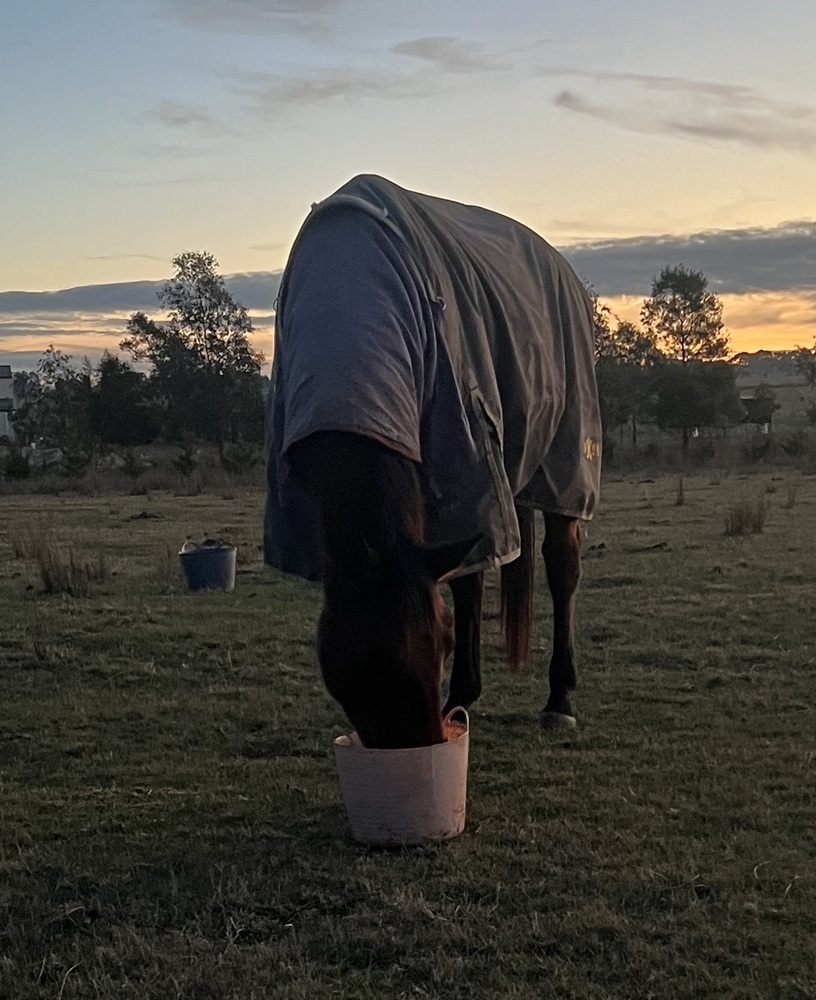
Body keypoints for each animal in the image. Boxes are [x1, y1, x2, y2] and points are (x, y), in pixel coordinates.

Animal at [265, 175, 602, 750]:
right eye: (341, 674)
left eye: (441, 641)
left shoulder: (461, 457)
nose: (421, 745)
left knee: (562, 568)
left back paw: (559, 698)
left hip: (562, 463)